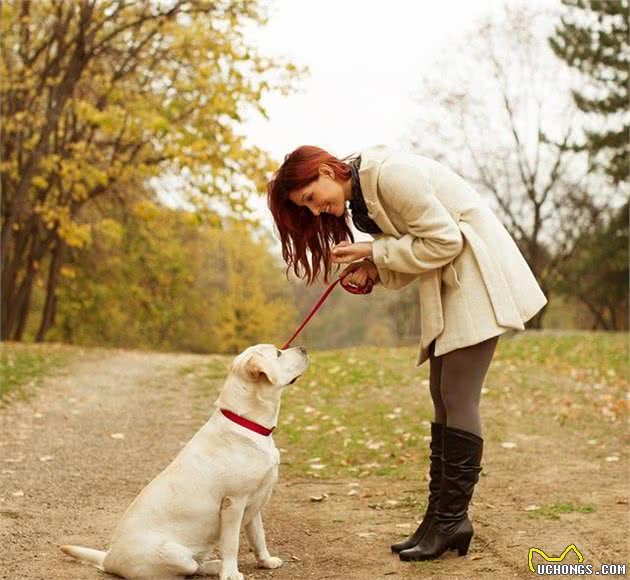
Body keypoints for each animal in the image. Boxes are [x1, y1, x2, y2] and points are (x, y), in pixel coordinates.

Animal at [61, 344, 312, 580]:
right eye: (278, 353)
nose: (304, 348)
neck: (247, 423)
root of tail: (108, 558)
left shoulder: (255, 504)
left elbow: (259, 537)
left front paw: (266, 561)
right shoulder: (234, 503)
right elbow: (232, 543)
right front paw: (231, 573)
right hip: (175, 555)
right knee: (188, 569)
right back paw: (217, 567)